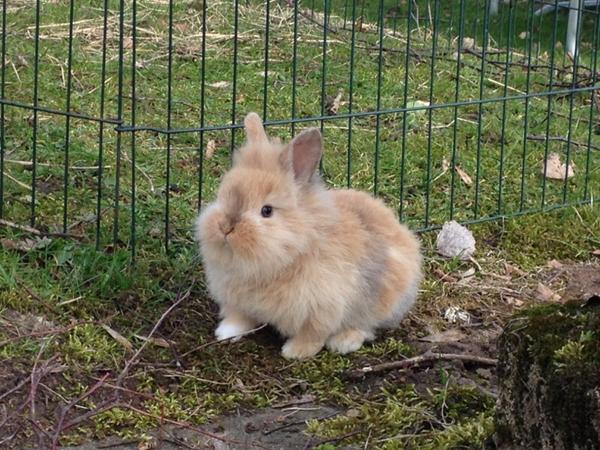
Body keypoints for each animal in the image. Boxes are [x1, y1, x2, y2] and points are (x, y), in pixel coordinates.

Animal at [196, 114, 422, 360]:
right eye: (222, 195)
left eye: (267, 211)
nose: (226, 227)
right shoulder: (237, 300)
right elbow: (240, 317)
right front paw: (226, 332)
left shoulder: (323, 308)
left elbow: (313, 335)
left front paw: (294, 352)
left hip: (382, 298)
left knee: (367, 325)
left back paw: (344, 342)